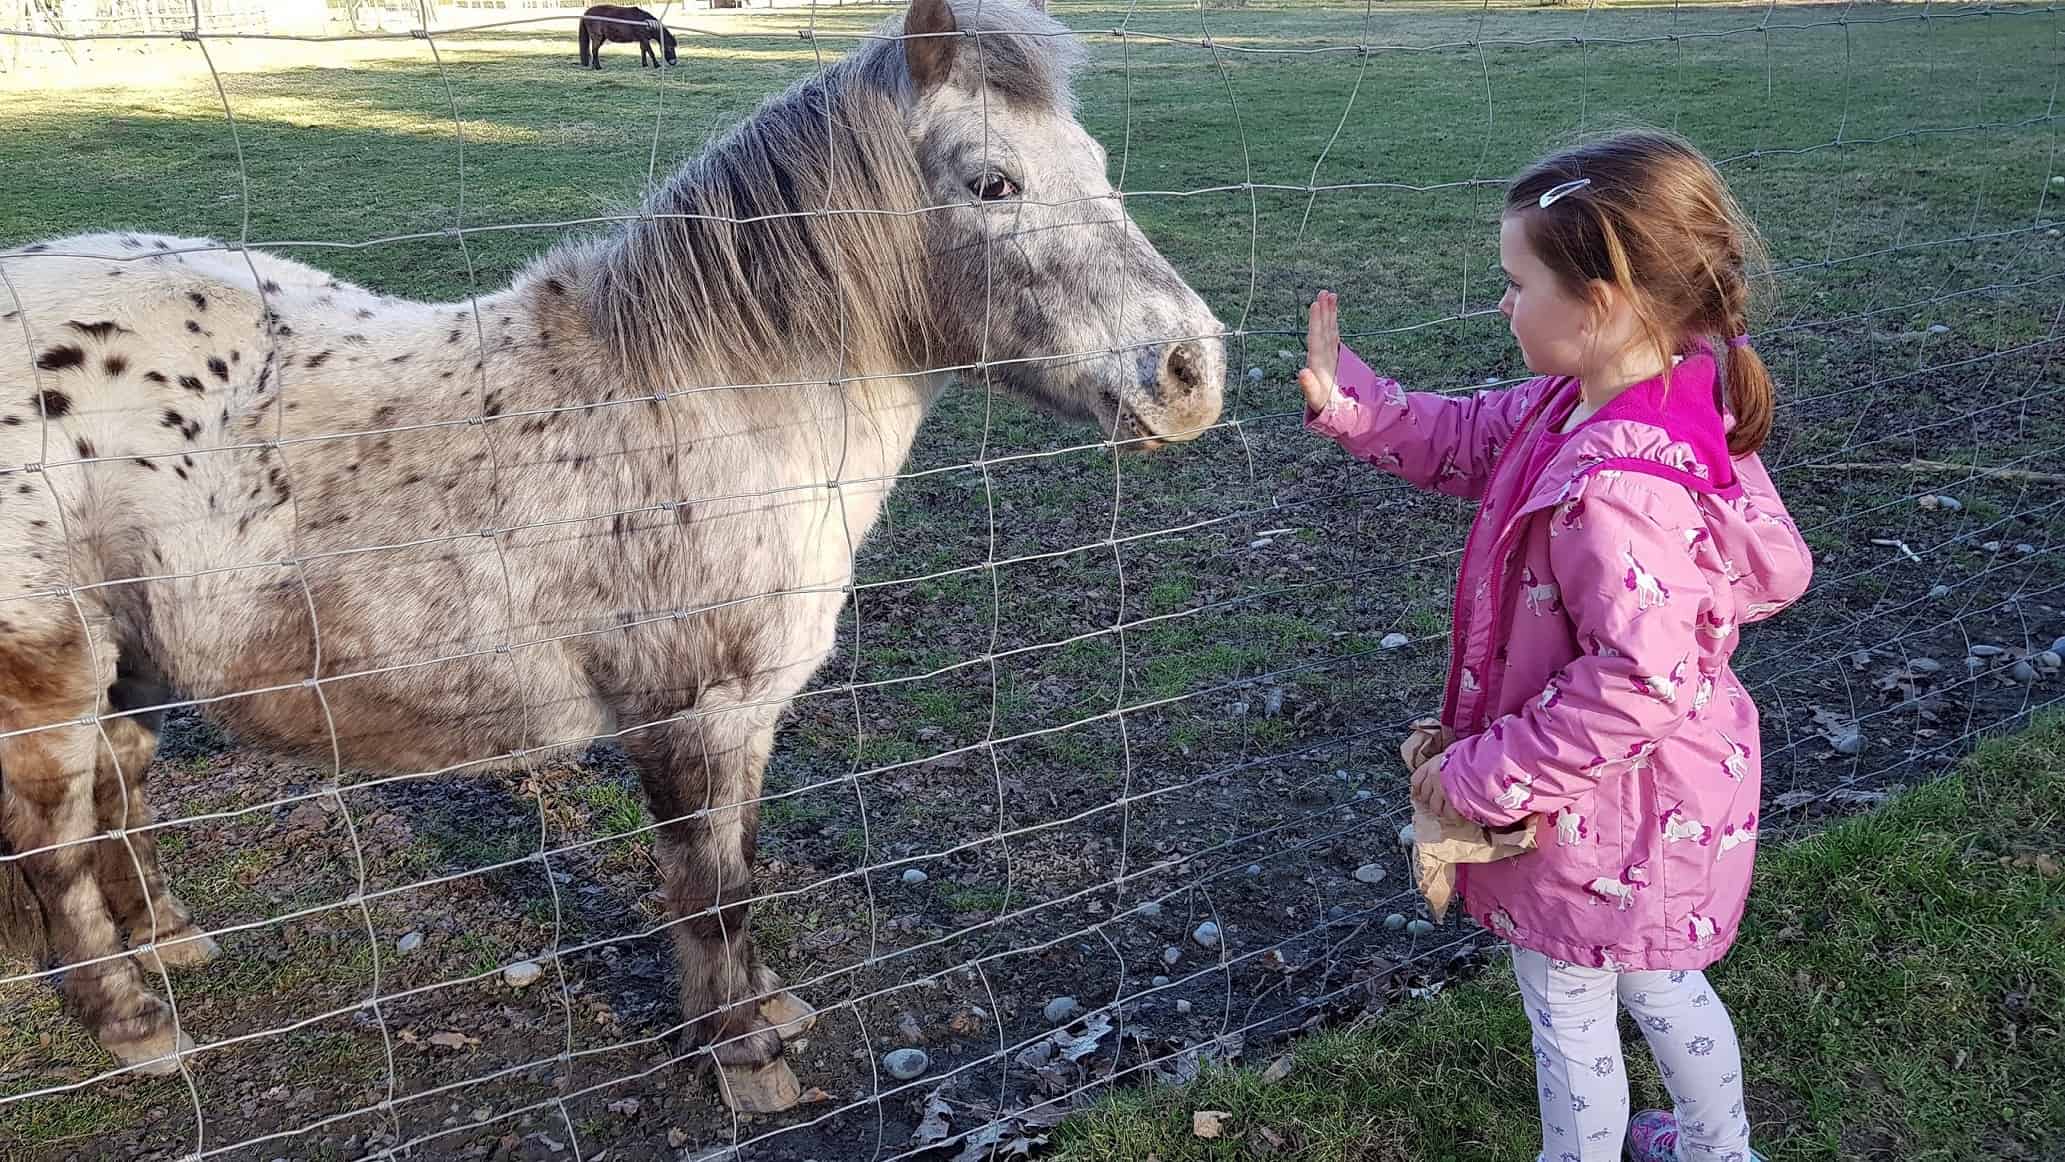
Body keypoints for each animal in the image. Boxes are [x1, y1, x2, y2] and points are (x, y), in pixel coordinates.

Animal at [0, 0, 1222, 1114]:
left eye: (1095, 166)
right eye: (993, 184)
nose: (1189, 371)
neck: (711, 405)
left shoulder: (749, 718)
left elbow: (738, 868)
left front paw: (764, 1011)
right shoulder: (687, 717)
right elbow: (708, 890)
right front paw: (744, 1060)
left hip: (132, 662)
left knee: (120, 790)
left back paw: (167, 940)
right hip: (51, 678)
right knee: (54, 850)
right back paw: (135, 1025)